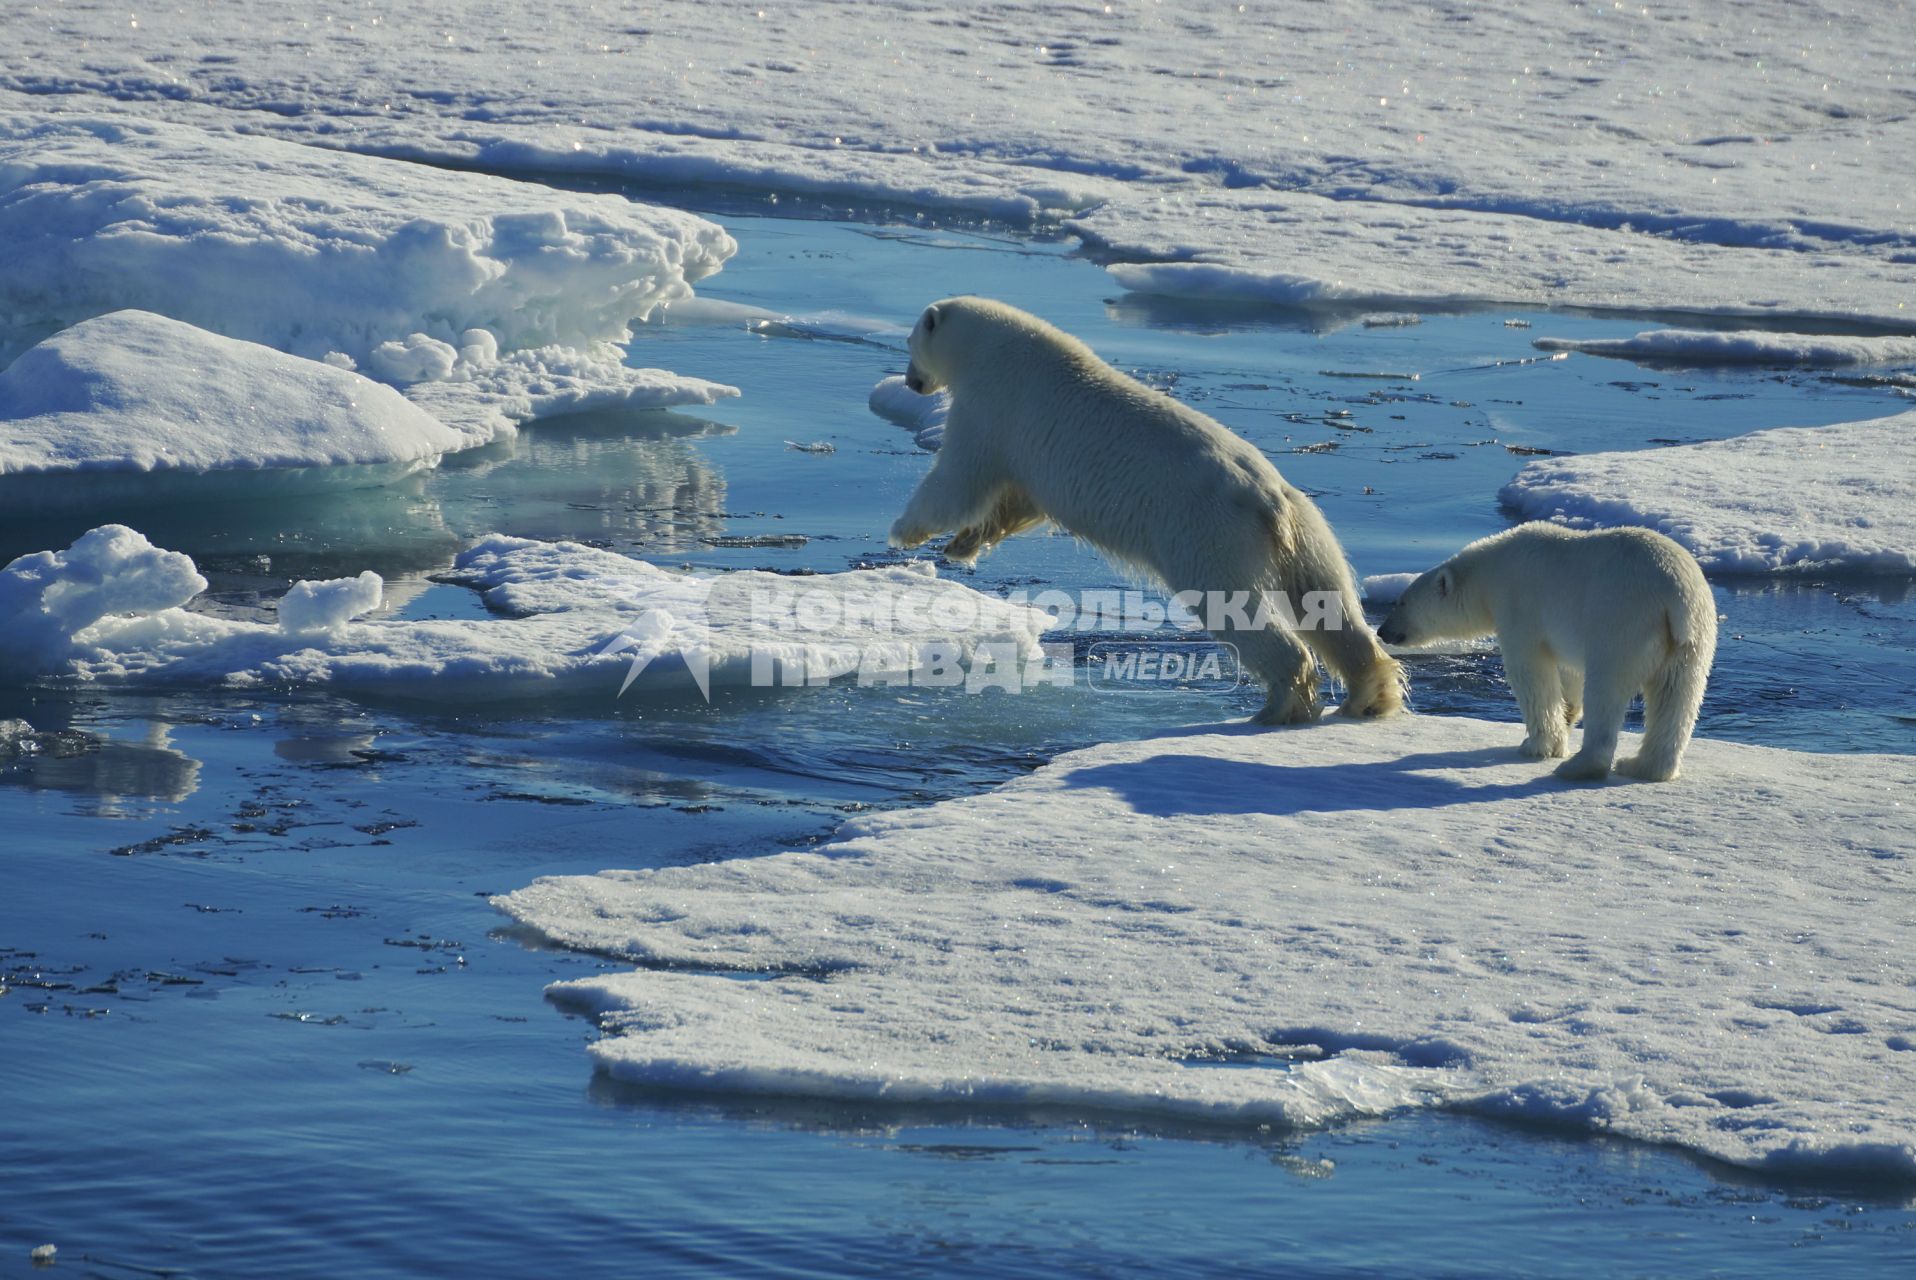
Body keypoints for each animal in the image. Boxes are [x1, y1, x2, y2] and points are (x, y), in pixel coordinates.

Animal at [885, 293, 1410, 724]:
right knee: (1328, 603)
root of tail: (1268, 501)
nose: (911, 383)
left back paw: (1279, 705)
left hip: (1209, 534)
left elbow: (961, 479)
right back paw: (1369, 694)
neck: (990, 348)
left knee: (1236, 607)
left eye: (910, 343)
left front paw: (905, 531)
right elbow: (1018, 501)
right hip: (1309, 531)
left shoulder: (993, 406)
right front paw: (962, 545)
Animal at [1379, 521, 1724, 781]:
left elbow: (1532, 673)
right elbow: (1569, 673)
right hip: (1692, 641)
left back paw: (1579, 766)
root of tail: (1674, 596)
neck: (1491, 573)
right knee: (1677, 696)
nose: (1383, 631)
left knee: (1606, 689)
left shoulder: (1520, 605)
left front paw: (1538, 745)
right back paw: (1643, 766)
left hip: (1622, 621)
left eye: (1401, 602)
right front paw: (1566, 717)